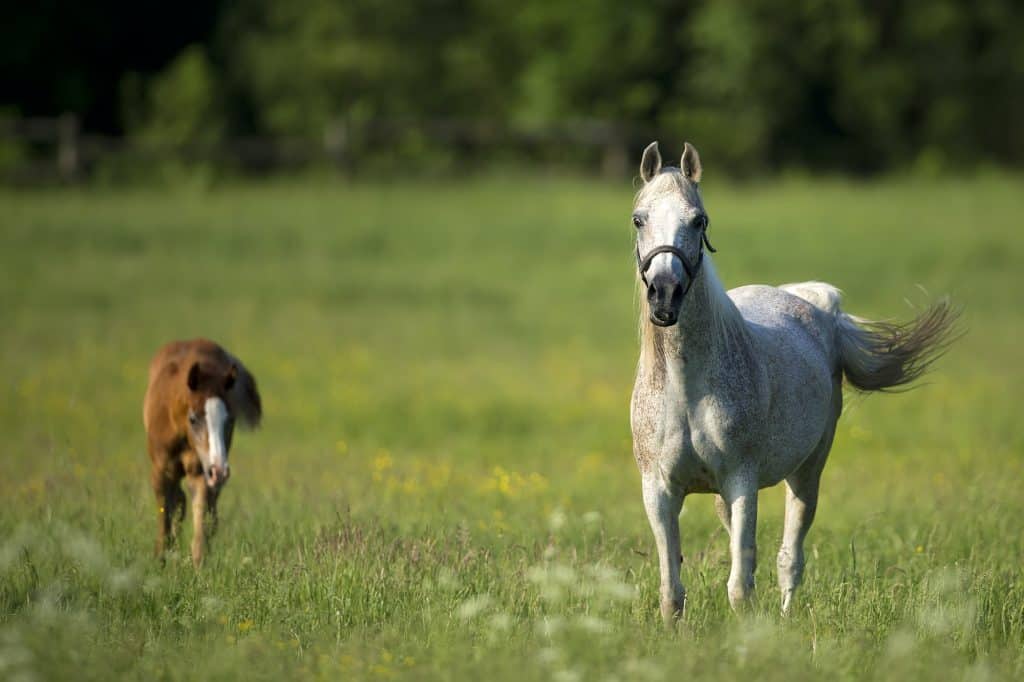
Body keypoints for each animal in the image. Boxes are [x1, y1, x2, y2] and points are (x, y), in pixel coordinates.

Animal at [143, 339, 262, 566]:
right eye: (193, 419)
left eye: (230, 420)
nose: (220, 470)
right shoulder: (160, 471)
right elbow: (164, 515)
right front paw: (160, 558)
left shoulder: (201, 472)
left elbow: (201, 521)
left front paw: (199, 567)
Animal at [629, 141, 958, 622]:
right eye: (639, 218)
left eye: (699, 220)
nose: (665, 293)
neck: (686, 388)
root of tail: (816, 304)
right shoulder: (658, 490)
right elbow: (672, 592)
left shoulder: (742, 482)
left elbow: (740, 586)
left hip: (808, 470)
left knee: (790, 558)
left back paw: (785, 618)